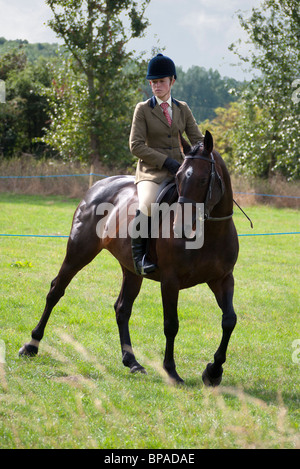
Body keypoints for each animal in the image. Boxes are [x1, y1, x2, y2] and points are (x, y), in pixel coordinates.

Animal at [18, 130, 239, 386]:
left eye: (204, 180)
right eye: (179, 177)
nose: (180, 227)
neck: (210, 233)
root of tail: (99, 185)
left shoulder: (222, 279)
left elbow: (229, 320)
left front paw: (213, 371)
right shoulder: (170, 281)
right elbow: (171, 324)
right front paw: (171, 371)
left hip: (132, 270)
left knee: (122, 308)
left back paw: (132, 362)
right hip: (78, 253)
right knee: (56, 291)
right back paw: (31, 345)